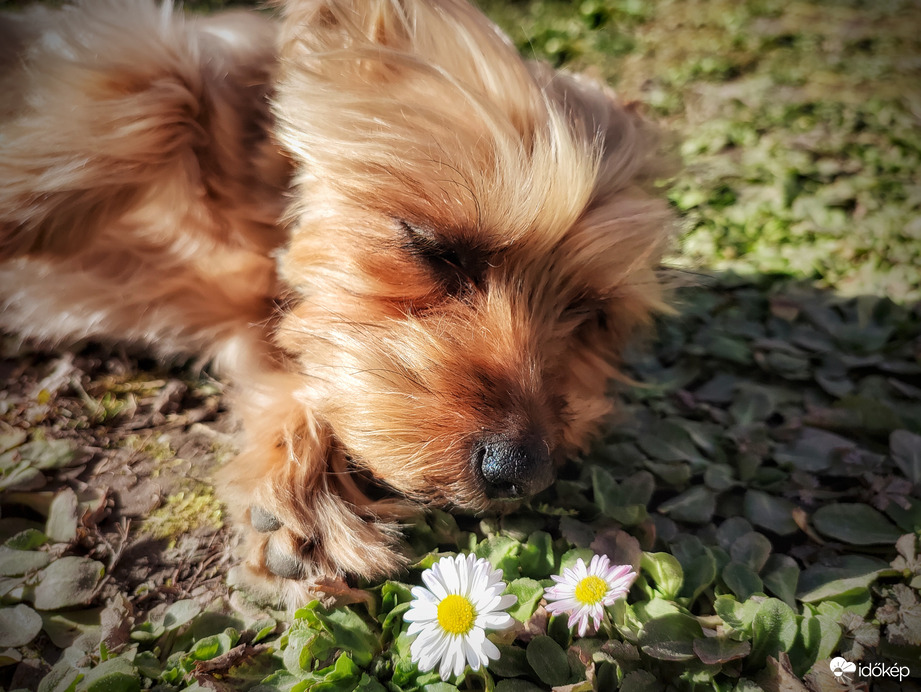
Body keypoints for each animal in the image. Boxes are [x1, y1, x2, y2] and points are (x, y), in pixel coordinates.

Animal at [1, 0, 676, 604]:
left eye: (590, 315)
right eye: (433, 248)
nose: (521, 471)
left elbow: (309, 372)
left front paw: (305, 501)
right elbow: (165, 81)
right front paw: (22, 201)